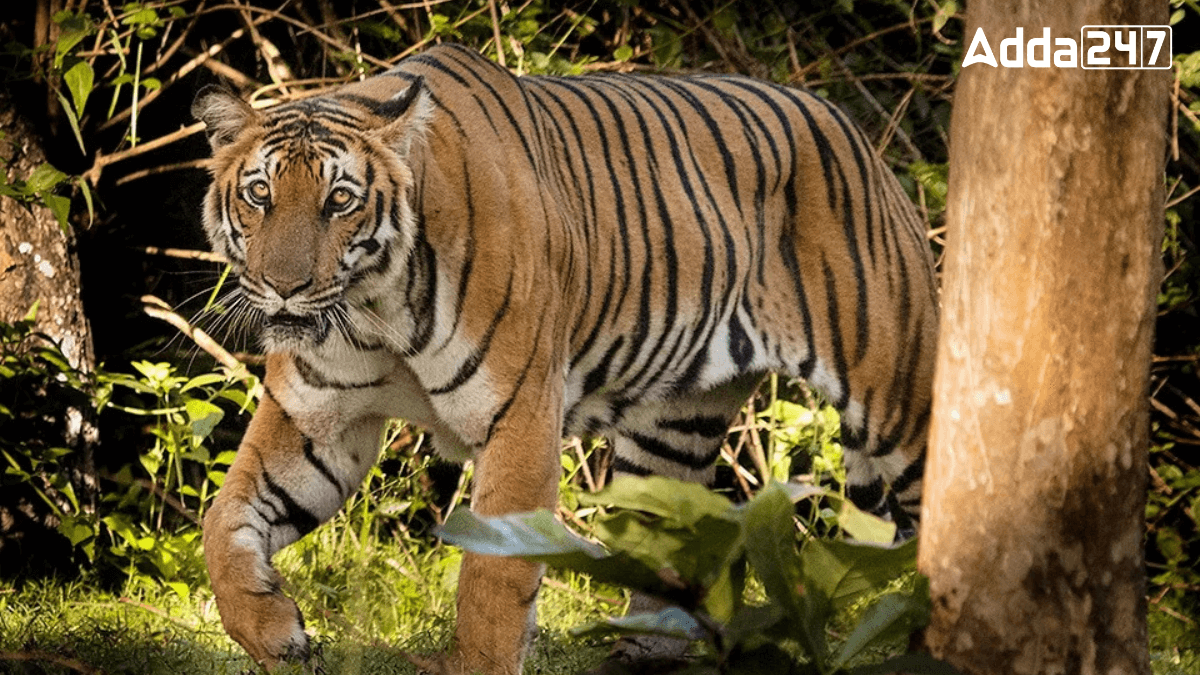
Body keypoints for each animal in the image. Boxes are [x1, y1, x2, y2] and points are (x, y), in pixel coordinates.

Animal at [193, 42, 937, 674]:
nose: (284, 286)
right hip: (673, 435)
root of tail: (847, 124)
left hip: (900, 397)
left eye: (339, 200)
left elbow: (495, 573)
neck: (376, 308)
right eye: (260, 193)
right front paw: (276, 633)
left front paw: (478, 664)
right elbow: (223, 519)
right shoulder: (317, 419)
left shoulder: (519, 414)